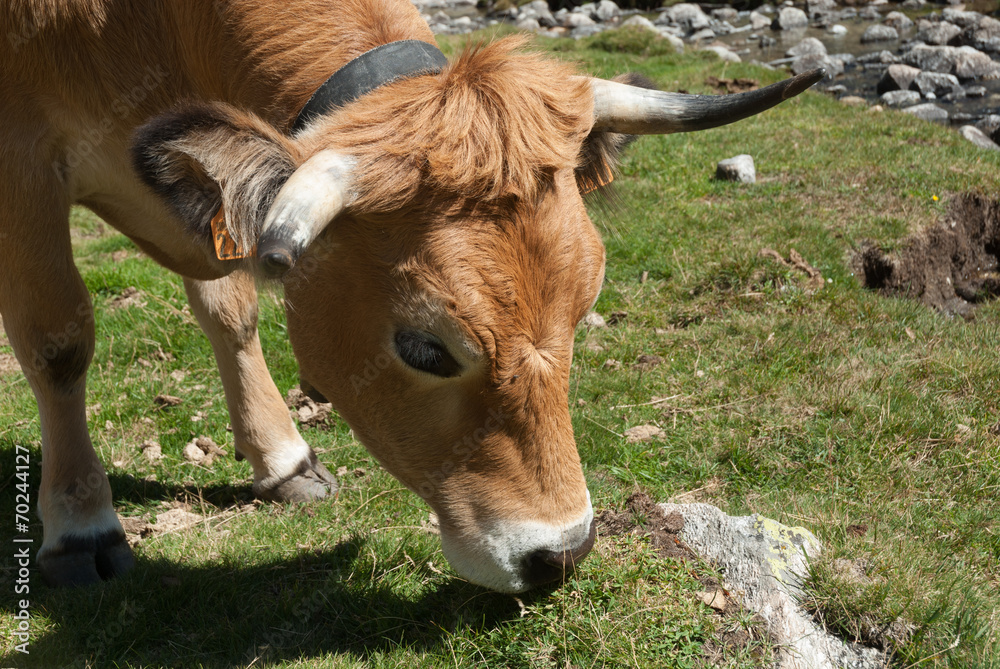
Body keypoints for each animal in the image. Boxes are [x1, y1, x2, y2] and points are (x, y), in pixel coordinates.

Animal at [0, 0, 821, 593]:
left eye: (585, 307)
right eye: (426, 348)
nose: (560, 554)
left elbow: (229, 310)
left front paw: (281, 458)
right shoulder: (23, 160)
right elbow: (58, 338)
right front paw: (81, 523)